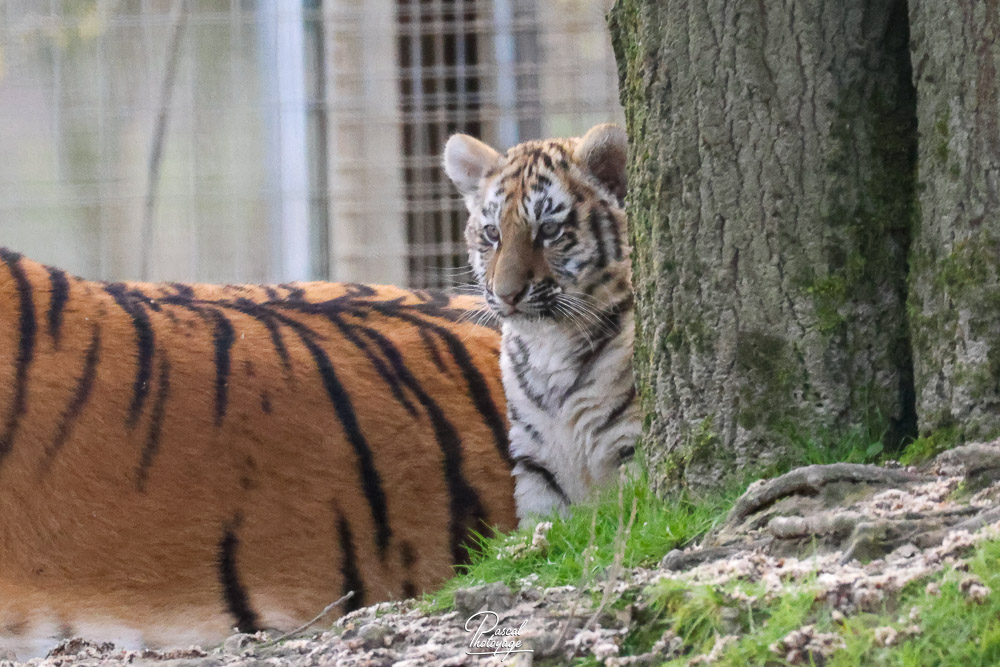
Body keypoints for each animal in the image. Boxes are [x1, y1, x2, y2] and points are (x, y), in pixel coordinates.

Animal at [443, 123, 641, 523]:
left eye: (548, 230)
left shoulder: (631, 440)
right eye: (492, 233)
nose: (506, 294)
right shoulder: (536, 463)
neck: (550, 345)